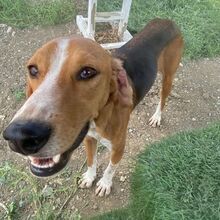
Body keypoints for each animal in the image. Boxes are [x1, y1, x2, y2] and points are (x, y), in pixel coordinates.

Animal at [2, 18, 183, 197]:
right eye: (32, 69)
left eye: (87, 72)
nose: (19, 136)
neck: (99, 120)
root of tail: (167, 21)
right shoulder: (88, 138)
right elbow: (91, 161)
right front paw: (89, 178)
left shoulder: (119, 147)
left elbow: (110, 168)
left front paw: (104, 183)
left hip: (168, 77)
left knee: (162, 99)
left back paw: (157, 117)